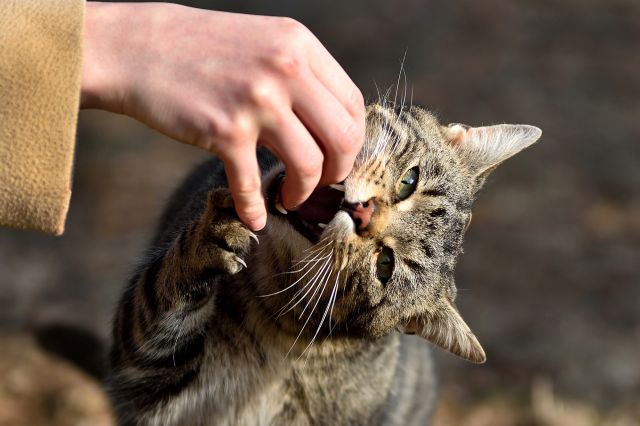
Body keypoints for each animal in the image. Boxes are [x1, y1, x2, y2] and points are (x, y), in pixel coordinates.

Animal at [107, 104, 544, 426]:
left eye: (384, 265)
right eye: (409, 181)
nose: (364, 213)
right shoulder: (140, 371)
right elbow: (162, 293)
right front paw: (212, 237)